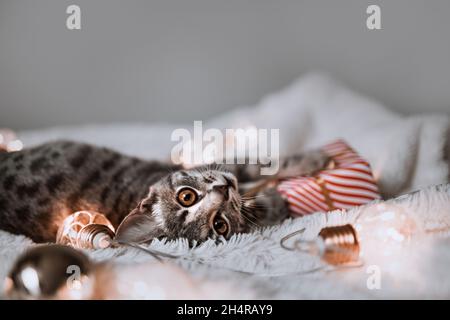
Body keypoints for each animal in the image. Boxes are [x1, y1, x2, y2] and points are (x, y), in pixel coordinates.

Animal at [0, 141, 330, 244]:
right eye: (219, 225)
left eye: (187, 195)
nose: (223, 190)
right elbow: (258, 188)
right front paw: (278, 200)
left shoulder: (216, 165)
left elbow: (258, 164)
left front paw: (314, 158)